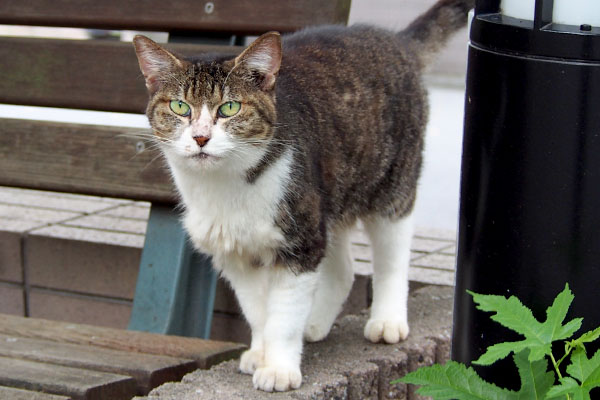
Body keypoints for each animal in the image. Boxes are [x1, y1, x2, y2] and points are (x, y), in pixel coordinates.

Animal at [132, 0, 474, 392]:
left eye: (230, 108)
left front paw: (279, 368)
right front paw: (260, 353)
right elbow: (258, 313)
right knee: (343, 270)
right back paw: (314, 324)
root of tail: (396, 39)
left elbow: (283, 316)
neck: (225, 187)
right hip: (328, 198)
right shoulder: (235, 252)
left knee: (392, 257)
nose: (201, 137)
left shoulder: (300, 243)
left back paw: (387, 320)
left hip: (389, 186)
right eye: (180, 107)